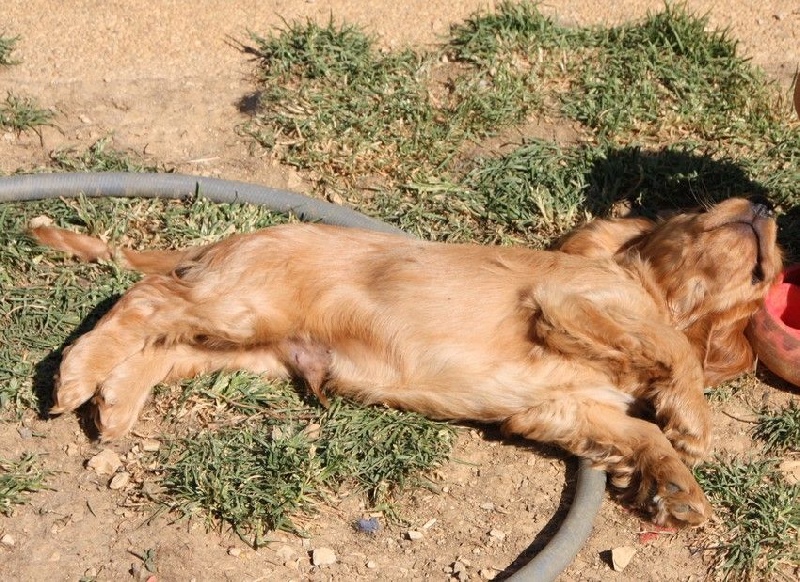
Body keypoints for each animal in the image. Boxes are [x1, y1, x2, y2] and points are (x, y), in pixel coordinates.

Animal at [30, 197, 782, 527]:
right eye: (699, 210)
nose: (767, 202)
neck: (657, 291)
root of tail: (232, 240)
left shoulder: (563, 408)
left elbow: (639, 429)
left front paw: (675, 488)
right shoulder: (569, 299)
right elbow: (674, 351)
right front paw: (694, 422)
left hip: (249, 347)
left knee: (159, 343)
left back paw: (113, 402)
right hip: (240, 304)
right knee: (147, 297)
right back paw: (75, 376)